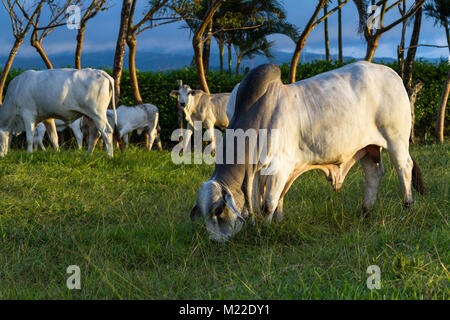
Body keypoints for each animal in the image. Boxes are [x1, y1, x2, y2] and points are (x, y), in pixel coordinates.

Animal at [190, 62, 426, 242]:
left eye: (218, 210)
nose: (216, 241)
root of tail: (393, 74)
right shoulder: (262, 173)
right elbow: (267, 201)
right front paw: (275, 222)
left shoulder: (278, 168)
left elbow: (268, 204)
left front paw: (265, 231)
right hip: (368, 148)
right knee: (373, 174)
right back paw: (365, 211)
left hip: (396, 140)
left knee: (404, 168)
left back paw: (407, 205)